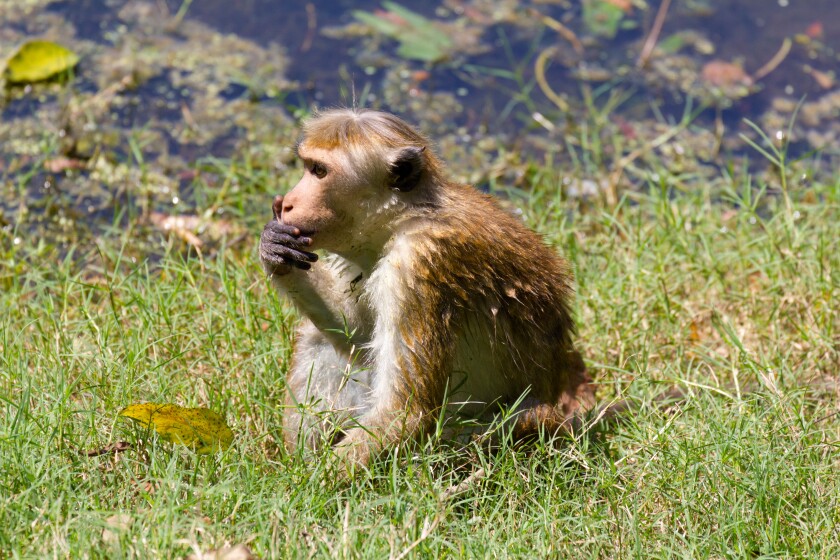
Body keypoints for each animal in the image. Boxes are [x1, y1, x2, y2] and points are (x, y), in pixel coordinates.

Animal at [259, 108, 597, 474]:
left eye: (319, 171)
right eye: (308, 166)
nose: (288, 203)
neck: (405, 219)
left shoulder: (418, 266)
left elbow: (403, 412)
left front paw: (303, 484)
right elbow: (359, 336)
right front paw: (274, 247)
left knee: (525, 420)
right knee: (318, 339)